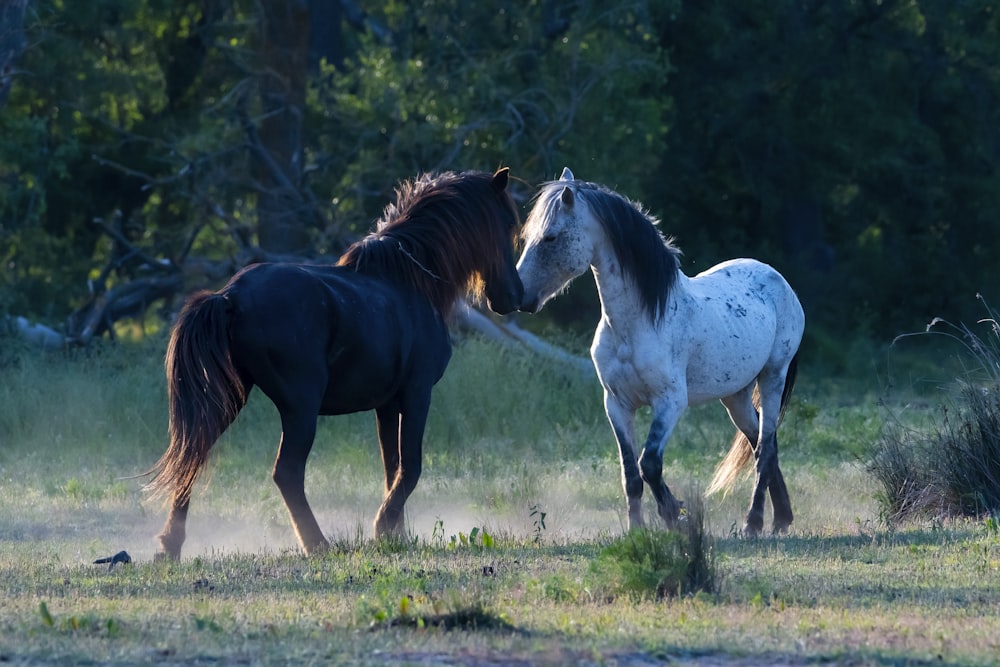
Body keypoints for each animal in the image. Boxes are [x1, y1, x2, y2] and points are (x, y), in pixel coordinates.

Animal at [146, 168, 528, 560]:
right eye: (507, 223)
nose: (516, 295)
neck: (412, 283)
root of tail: (229, 296)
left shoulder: (387, 404)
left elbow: (392, 468)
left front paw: (396, 535)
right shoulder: (417, 393)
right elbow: (411, 467)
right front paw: (383, 526)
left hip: (229, 400)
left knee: (194, 457)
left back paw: (171, 544)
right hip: (300, 408)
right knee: (286, 473)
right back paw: (318, 544)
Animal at [516, 168, 804, 536]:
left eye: (550, 238)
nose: (519, 295)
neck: (636, 324)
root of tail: (779, 279)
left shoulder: (670, 402)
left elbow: (650, 463)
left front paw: (674, 515)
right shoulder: (616, 404)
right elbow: (630, 474)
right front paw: (637, 528)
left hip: (772, 377)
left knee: (764, 450)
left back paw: (753, 523)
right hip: (735, 396)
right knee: (763, 444)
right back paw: (782, 518)